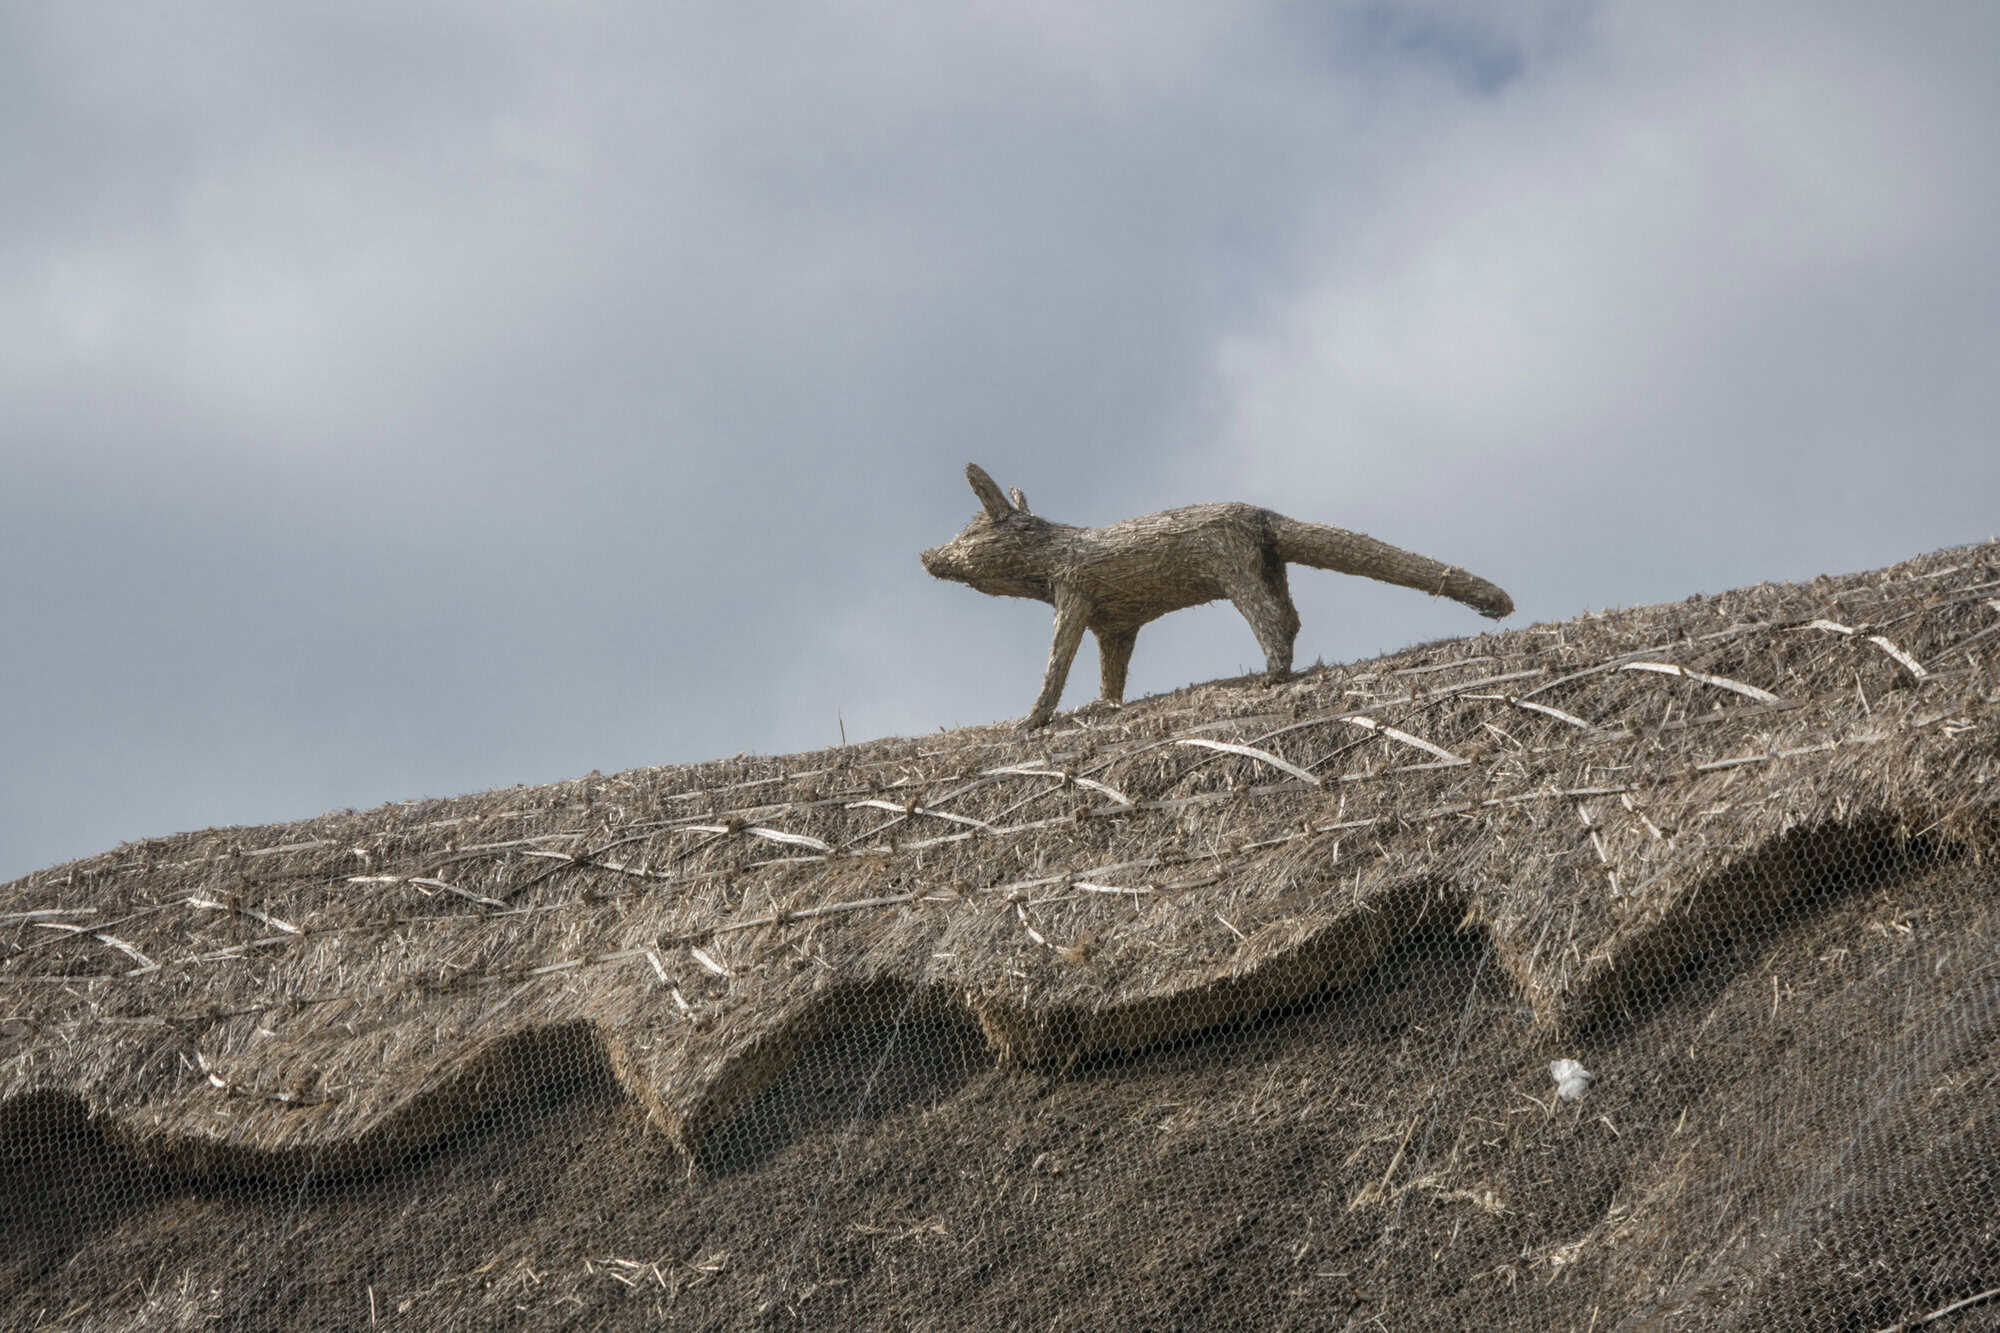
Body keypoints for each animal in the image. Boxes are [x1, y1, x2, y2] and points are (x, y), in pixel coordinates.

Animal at [921, 463, 1514, 729]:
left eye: (968, 536)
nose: (929, 555)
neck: (1053, 552)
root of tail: (1260, 514)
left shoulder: (1074, 595)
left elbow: (1056, 663)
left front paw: (1034, 718)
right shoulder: (1115, 622)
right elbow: (1112, 671)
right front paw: (1105, 704)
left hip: (1234, 569)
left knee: (1271, 621)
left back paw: (1274, 673)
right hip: (1268, 565)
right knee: (1290, 616)